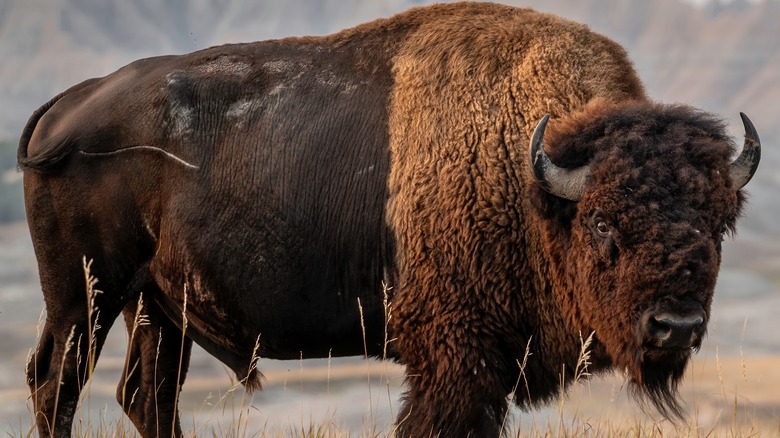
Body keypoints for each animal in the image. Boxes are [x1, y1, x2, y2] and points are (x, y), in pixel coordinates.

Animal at [19, 3, 760, 438]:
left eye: (718, 224)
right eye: (602, 223)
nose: (676, 326)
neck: (529, 174)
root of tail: (69, 103)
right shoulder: (456, 359)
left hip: (155, 304)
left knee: (147, 393)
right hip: (84, 295)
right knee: (57, 382)